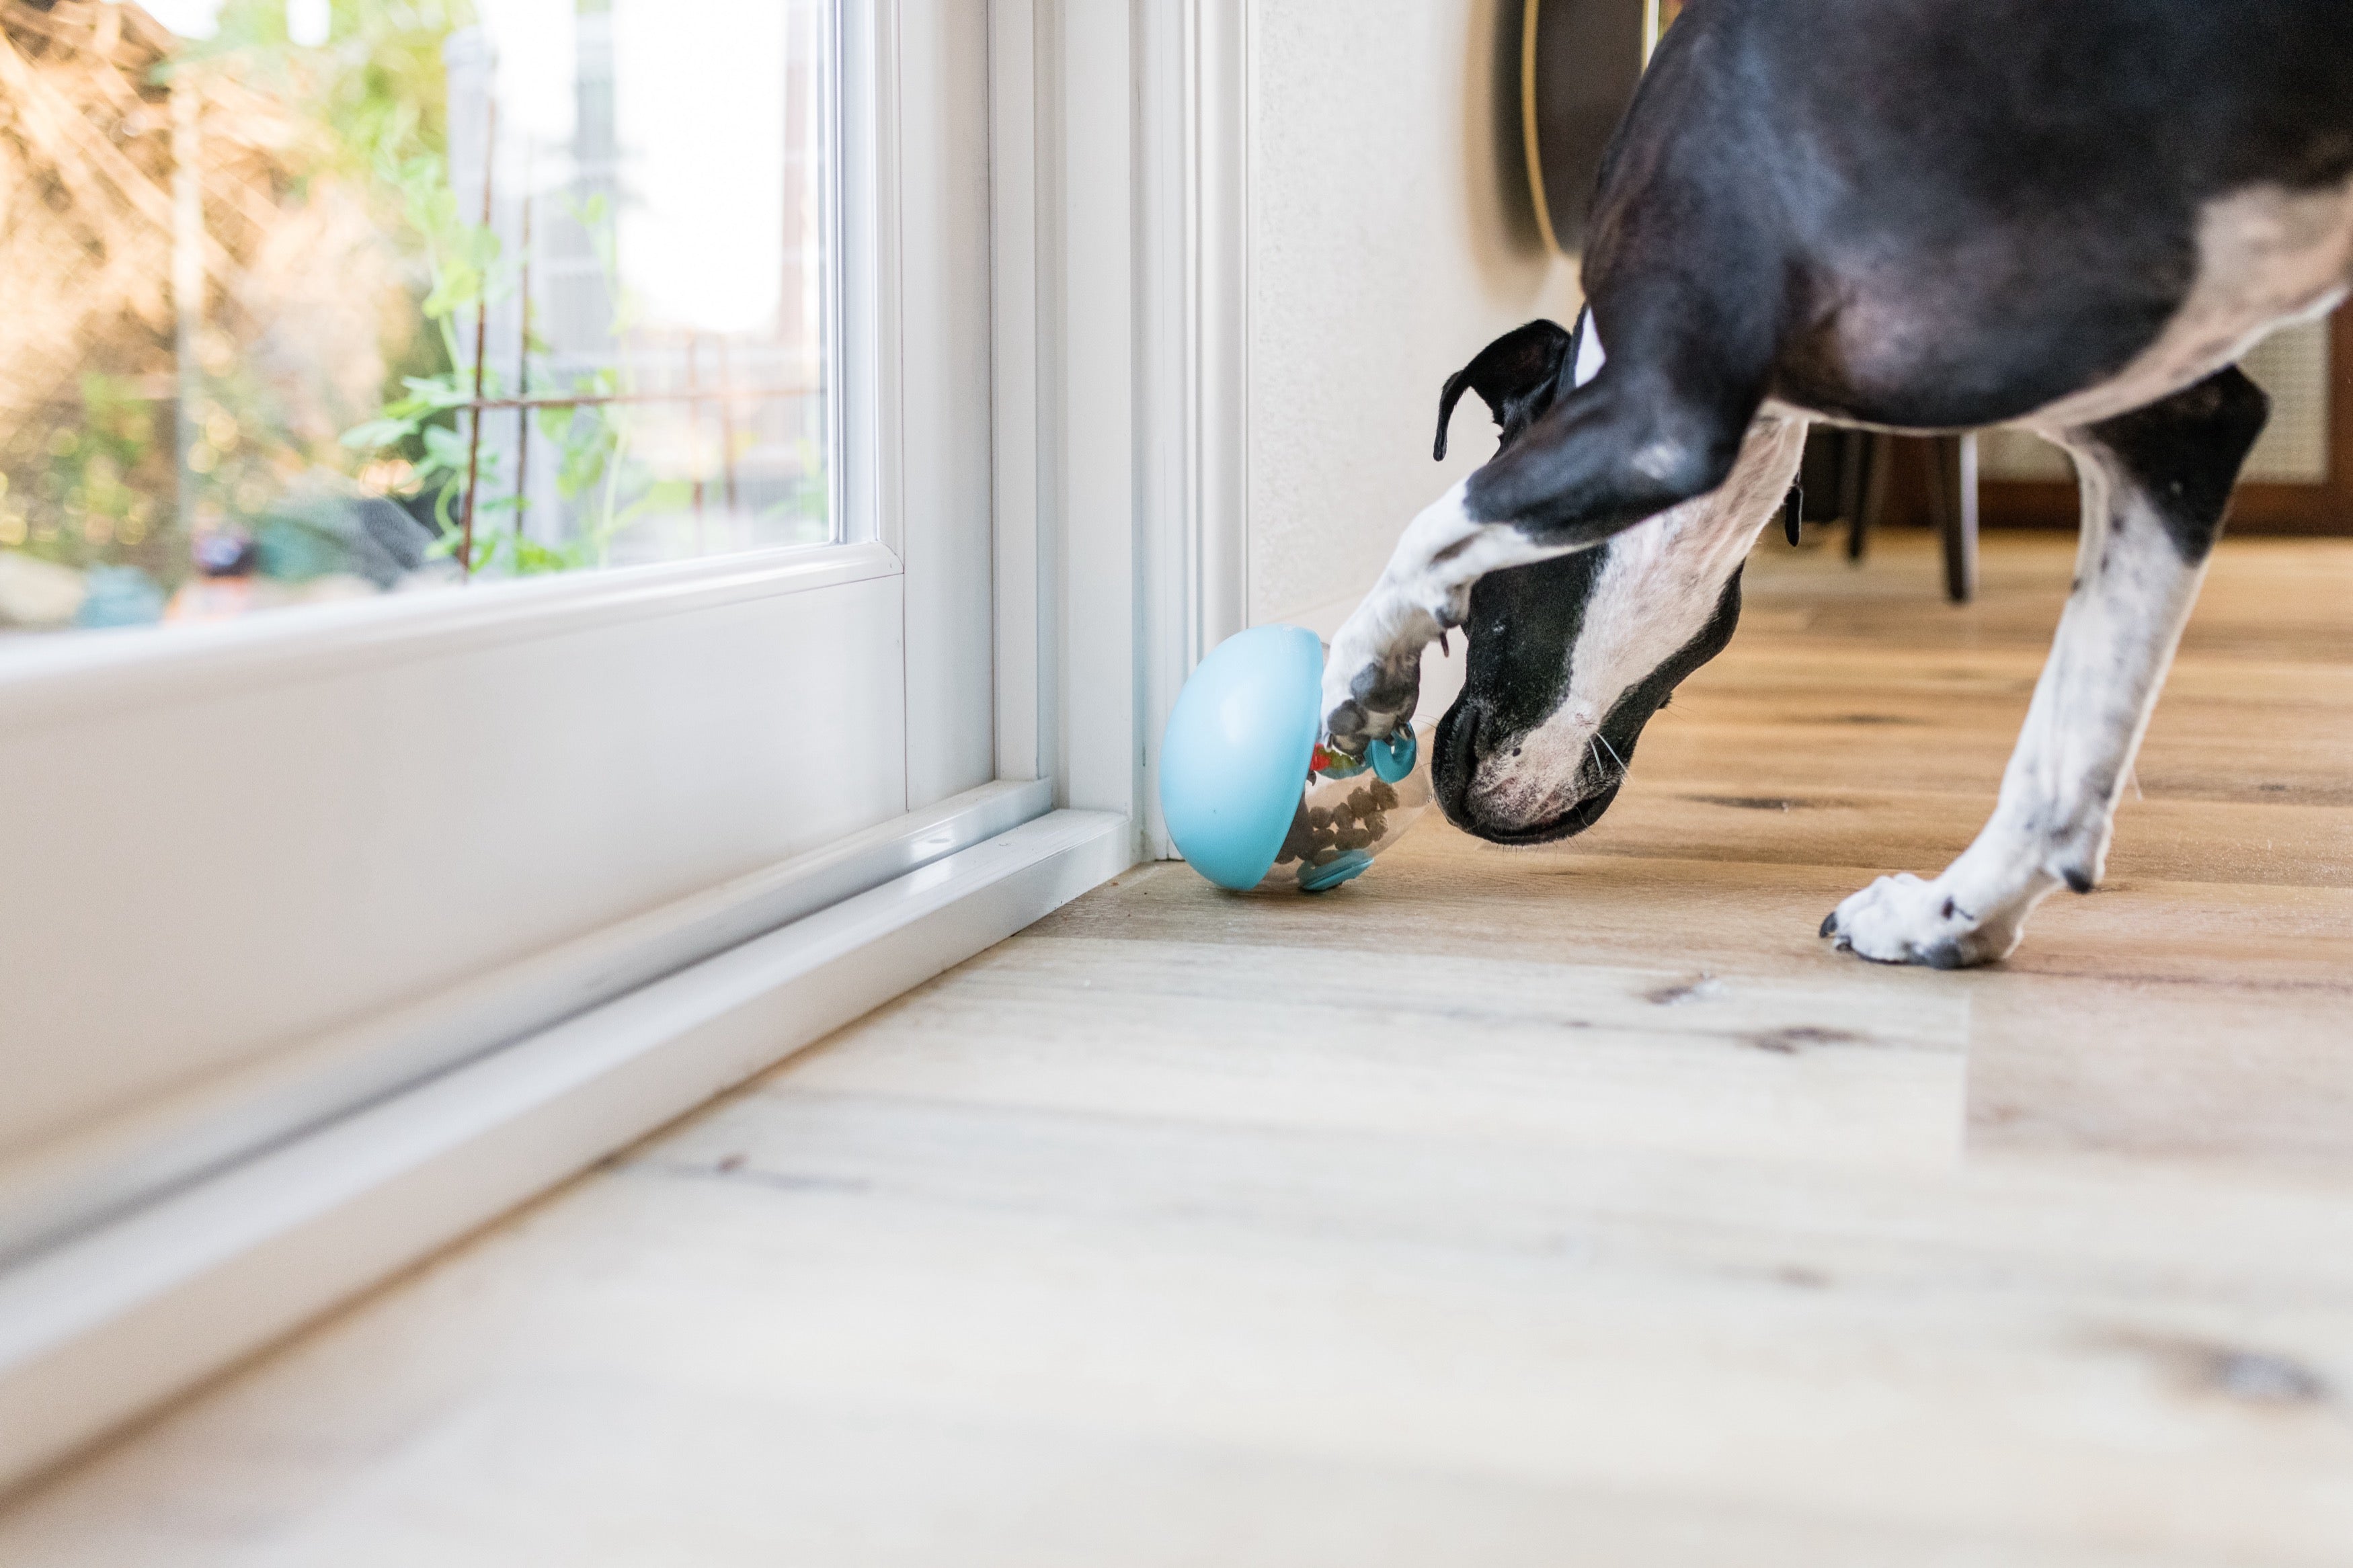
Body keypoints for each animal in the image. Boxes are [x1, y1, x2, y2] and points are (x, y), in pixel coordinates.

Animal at [1327, 0, 2353, 968]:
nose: (1484, 804)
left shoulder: (1661, 414)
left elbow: (1437, 526)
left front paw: (1362, 670)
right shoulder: (2173, 428)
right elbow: (2064, 762)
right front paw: (1955, 916)